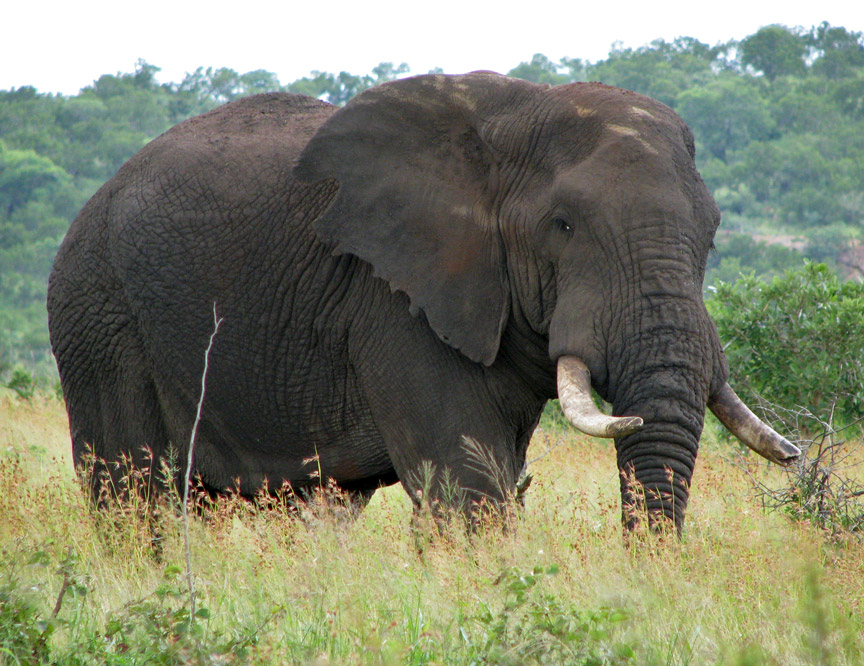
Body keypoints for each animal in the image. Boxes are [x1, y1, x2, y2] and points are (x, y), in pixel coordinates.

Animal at [47, 71, 800, 528]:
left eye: (713, 230)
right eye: (562, 226)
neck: (515, 117)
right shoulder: (392, 301)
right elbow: (468, 490)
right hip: (97, 312)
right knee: (131, 497)